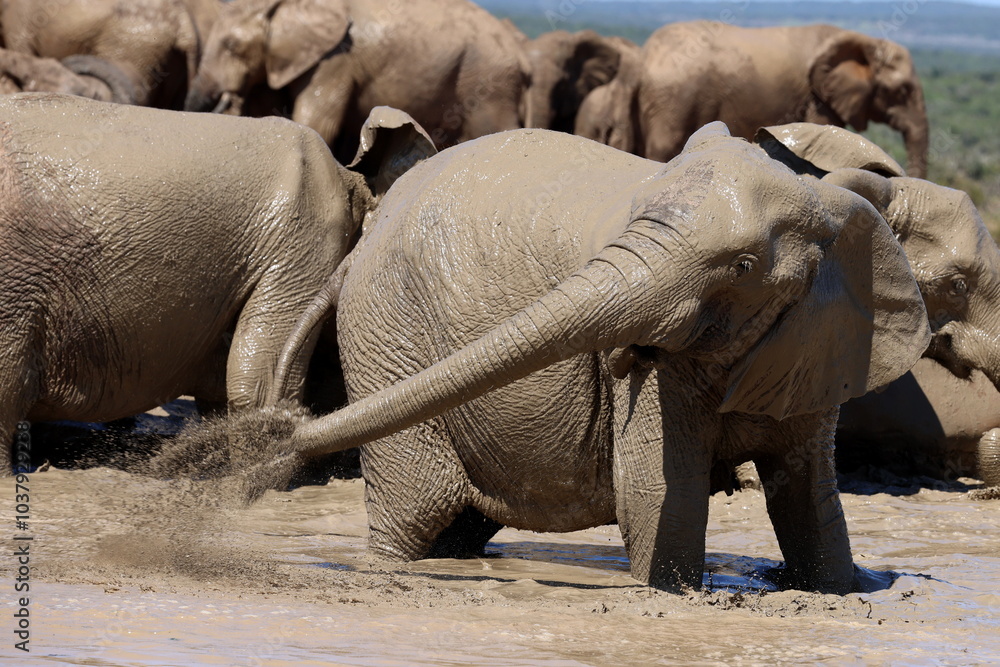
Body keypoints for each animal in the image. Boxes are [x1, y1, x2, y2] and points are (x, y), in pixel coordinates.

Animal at [184, 0, 529, 163]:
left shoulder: (337, 58)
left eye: (231, 46)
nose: (226, 96)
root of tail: (521, 51)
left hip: (489, 81)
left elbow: (318, 123)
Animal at [253, 123, 929, 593]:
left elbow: (812, 502)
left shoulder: (815, 345)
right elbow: (660, 496)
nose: (271, 432)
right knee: (416, 510)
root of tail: (362, 239)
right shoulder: (663, 375)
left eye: (742, 267)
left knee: (458, 523)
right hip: (385, 325)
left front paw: (847, 587)